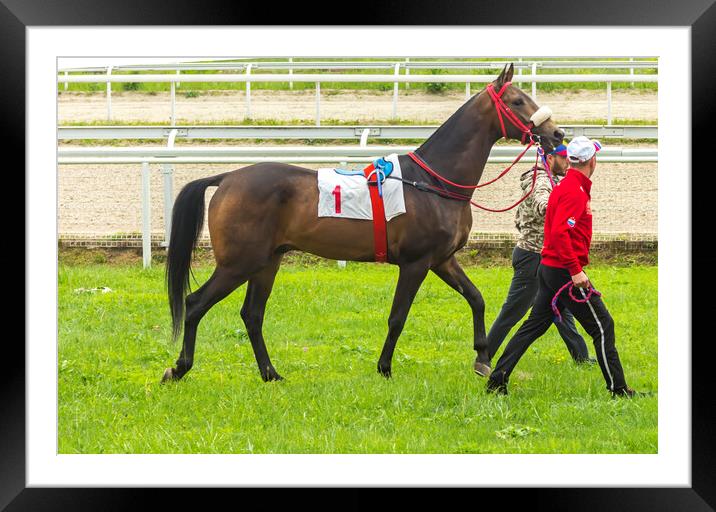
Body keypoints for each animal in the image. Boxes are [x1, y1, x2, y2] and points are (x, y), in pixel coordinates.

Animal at [162, 64, 564, 382]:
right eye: (517, 101)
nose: (556, 134)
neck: (433, 182)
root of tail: (228, 177)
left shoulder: (443, 260)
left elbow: (477, 299)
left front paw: (482, 358)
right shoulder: (416, 263)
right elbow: (398, 317)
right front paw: (384, 367)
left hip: (267, 262)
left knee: (252, 314)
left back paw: (271, 373)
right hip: (239, 263)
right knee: (195, 303)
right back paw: (179, 368)